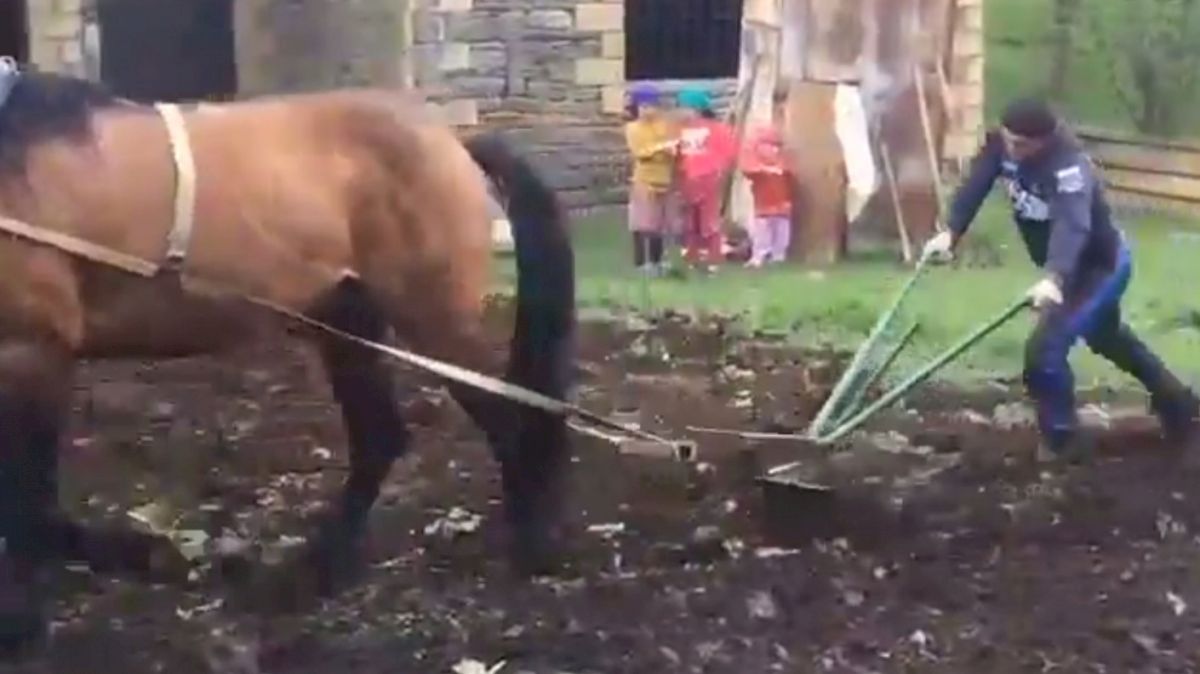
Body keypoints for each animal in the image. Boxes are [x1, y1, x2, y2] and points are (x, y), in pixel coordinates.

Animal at [0, 62, 576, 652]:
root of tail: (452, 141)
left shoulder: (30, 351)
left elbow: (26, 502)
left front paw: (23, 623)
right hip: (349, 326)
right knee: (380, 437)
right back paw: (325, 567)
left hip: (436, 325)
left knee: (507, 419)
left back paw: (532, 548)